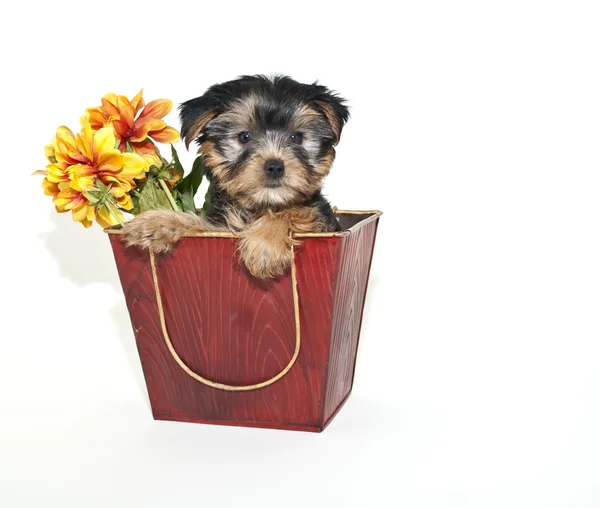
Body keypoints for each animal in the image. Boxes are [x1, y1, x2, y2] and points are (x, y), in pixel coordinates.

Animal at [122, 75, 350, 280]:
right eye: (244, 137)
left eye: (297, 137)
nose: (275, 166)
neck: (261, 206)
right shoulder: (219, 228)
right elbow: (199, 224)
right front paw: (155, 223)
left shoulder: (321, 218)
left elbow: (292, 211)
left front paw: (265, 246)